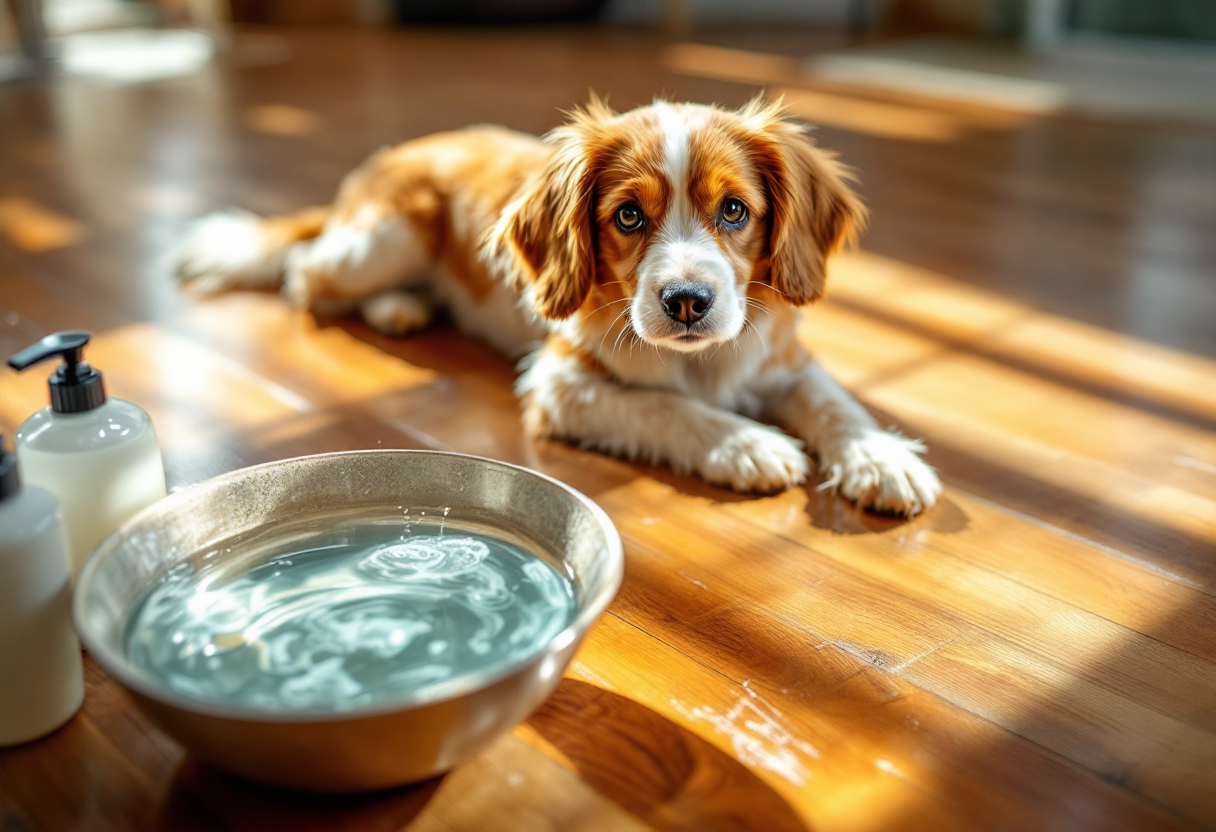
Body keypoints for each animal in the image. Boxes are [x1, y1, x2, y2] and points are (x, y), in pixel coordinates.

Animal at [176, 96, 943, 513]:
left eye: (734, 210)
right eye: (629, 216)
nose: (687, 301)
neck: (701, 361)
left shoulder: (785, 358)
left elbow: (834, 400)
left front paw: (882, 457)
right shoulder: (559, 384)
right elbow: (664, 408)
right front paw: (746, 444)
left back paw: (405, 305)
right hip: (379, 239)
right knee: (305, 273)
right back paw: (392, 304)